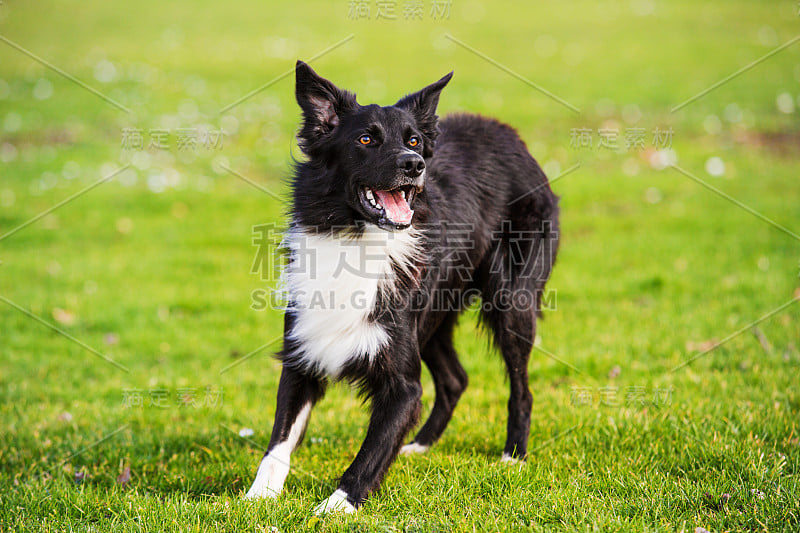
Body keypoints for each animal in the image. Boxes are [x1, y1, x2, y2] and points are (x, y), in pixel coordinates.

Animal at [247, 61, 560, 512]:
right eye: (365, 139)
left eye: (413, 141)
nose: (415, 165)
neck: (356, 239)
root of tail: (504, 131)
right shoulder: (302, 356)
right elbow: (278, 443)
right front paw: (256, 497)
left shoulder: (402, 386)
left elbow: (372, 451)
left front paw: (334, 507)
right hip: (433, 318)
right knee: (455, 379)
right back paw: (420, 445)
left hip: (511, 300)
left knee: (521, 387)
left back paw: (513, 455)